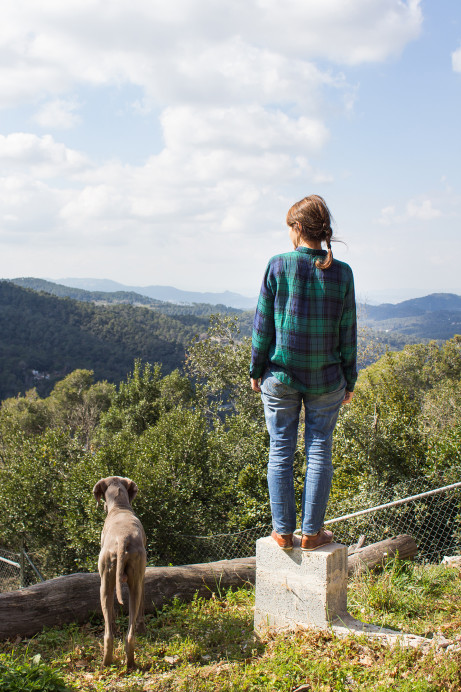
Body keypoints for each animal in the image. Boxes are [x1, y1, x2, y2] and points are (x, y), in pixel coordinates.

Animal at [92, 478, 146, 668]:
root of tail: (123, 538)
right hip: (131, 583)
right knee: (126, 636)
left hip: (106, 584)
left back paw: (106, 664)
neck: (120, 507)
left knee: (110, 634)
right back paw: (128, 662)